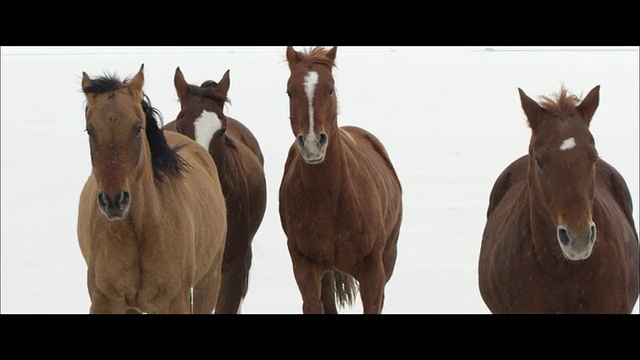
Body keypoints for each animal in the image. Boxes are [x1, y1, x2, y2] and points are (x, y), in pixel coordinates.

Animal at [77, 65, 228, 316]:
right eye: (90, 130)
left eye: (138, 128)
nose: (114, 201)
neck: (141, 231)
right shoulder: (105, 301)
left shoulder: (174, 301)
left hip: (209, 281)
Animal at [278, 46, 402, 314]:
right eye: (290, 91)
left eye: (330, 88)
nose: (313, 144)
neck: (331, 199)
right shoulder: (305, 267)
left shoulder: (373, 271)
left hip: (389, 256)